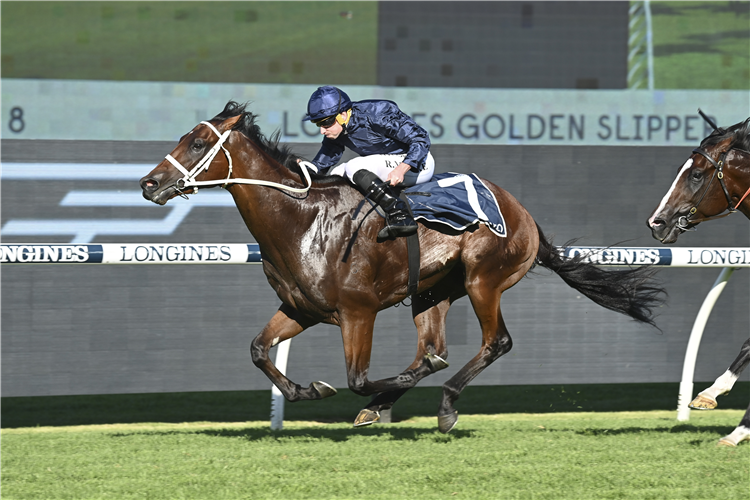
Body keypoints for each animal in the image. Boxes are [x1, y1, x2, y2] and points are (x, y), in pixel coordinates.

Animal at [140, 102, 664, 434]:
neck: (301, 220)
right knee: (433, 348)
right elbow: (257, 350)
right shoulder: (300, 308)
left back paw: (444, 405)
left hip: (484, 279)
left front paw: (344, 390)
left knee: (493, 343)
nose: (149, 183)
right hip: (432, 291)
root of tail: (524, 214)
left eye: (198, 142)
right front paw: (309, 391)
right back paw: (392, 401)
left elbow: (357, 379)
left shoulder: (358, 311)